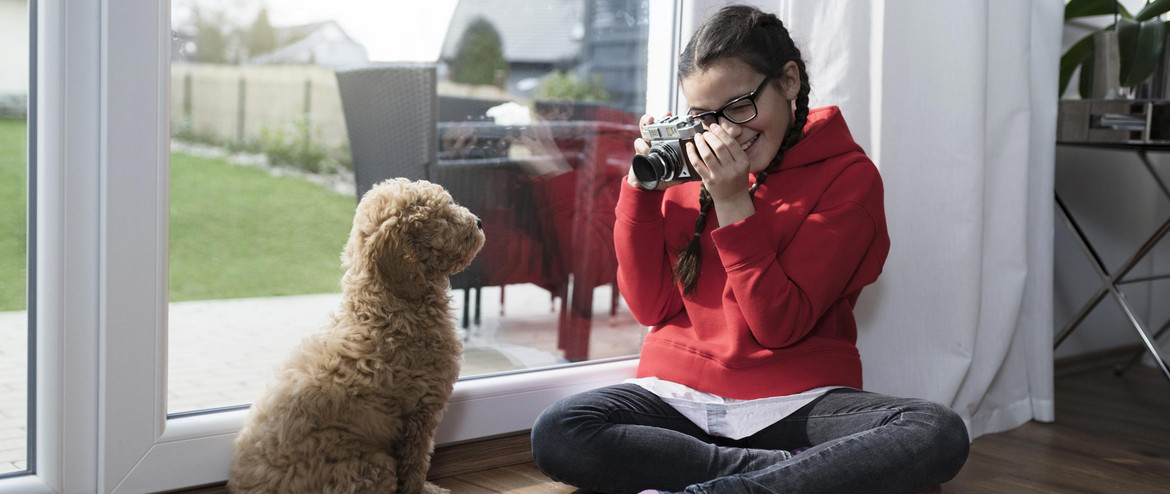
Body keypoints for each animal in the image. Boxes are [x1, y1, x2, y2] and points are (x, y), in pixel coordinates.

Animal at [228, 177, 484, 494]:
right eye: (446, 217)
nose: (480, 222)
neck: (388, 304)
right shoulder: (420, 412)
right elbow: (416, 463)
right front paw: (426, 490)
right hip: (372, 466)